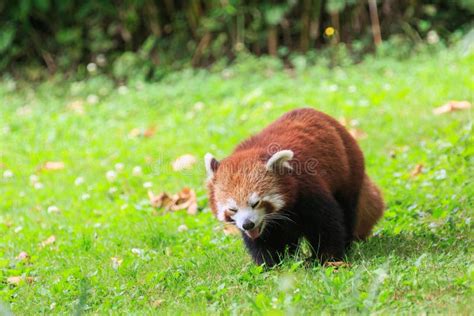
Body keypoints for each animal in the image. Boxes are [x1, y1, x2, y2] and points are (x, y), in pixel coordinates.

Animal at [206, 107, 384, 266]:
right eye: (232, 209)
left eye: (256, 203)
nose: (247, 224)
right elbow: (262, 241)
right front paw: (269, 264)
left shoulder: (308, 189)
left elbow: (327, 225)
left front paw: (327, 258)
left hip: (348, 170)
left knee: (347, 211)